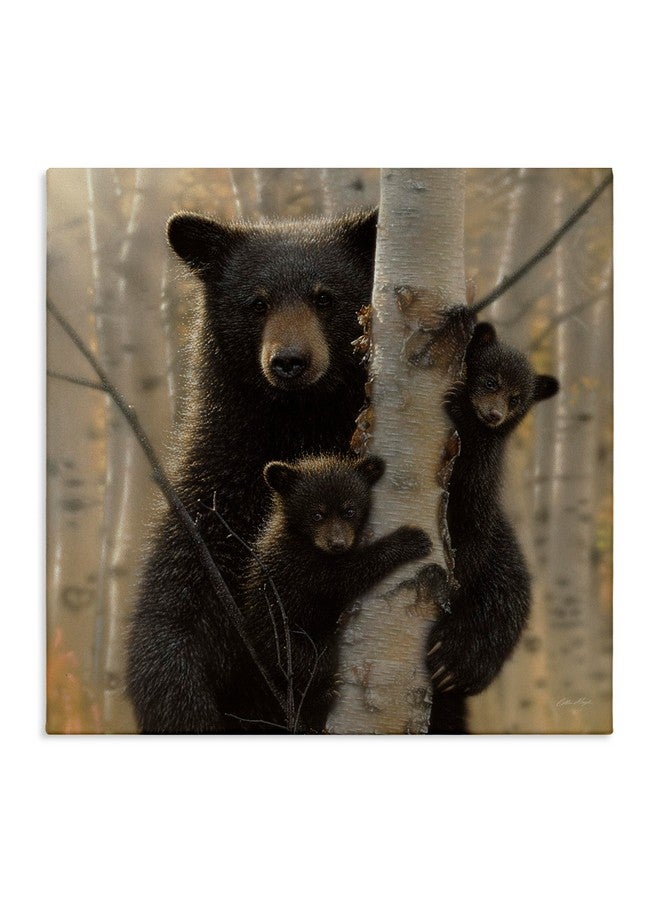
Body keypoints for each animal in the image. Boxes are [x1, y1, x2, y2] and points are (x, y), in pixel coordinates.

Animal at [126, 209, 378, 733]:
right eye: (257, 302)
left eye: (325, 297)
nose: (290, 361)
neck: (296, 427)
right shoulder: (213, 502)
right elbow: (171, 618)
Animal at [224, 454, 433, 733]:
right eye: (316, 514)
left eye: (349, 511)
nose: (337, 543)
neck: (303, 539)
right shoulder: (301, 566)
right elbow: (344, 577)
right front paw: (410, 540)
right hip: (286, 642)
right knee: (312, 663)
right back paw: (322, 694)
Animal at [426, 321, 559, 734]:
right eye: (489, 380)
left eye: (516, 398)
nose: (494, 414)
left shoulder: (479, 486)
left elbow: (471, 538)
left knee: (499, 610)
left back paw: (452, 662)